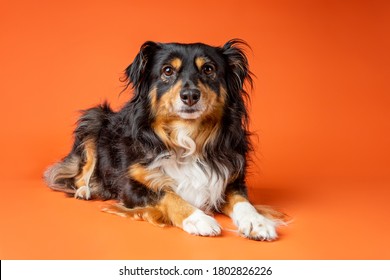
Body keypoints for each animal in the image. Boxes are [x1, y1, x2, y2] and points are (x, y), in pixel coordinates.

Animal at [45, 39, 284, 241]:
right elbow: (168, 195)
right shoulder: (132, 186)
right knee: (82, 172)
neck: (187, 135)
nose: (190, 95)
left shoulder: (230, 179)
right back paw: (84, 190)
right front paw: (198, 219)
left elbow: (243, 201)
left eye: (209, 69)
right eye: (167, 71)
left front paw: (257, 222)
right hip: (94, 117)